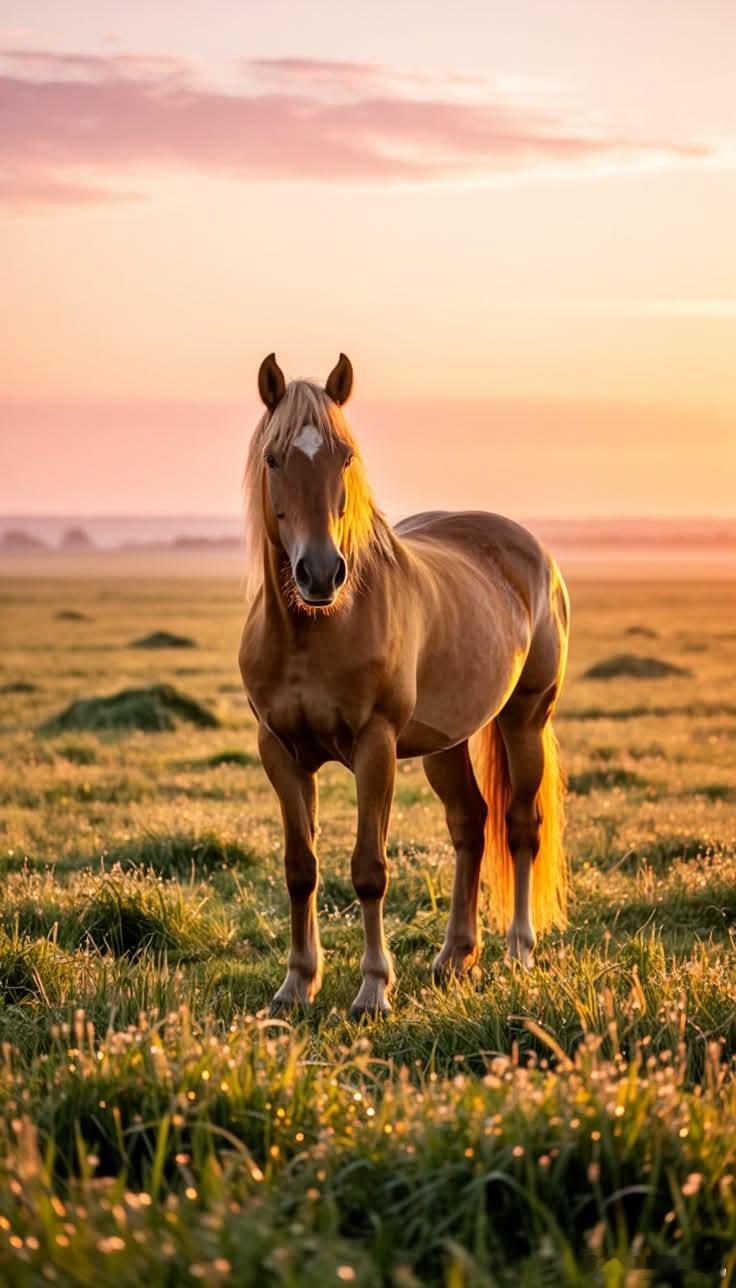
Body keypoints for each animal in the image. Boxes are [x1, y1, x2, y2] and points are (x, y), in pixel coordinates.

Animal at [239, 353, 570, 1017]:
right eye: (274, 458)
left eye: (345, 456)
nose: (320, 573)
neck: (313, 630)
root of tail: (533, 552)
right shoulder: (279, 751)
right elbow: (299, 867)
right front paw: (296, 985)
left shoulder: (376, 747)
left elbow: (369, 869)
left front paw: (372, 990)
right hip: (446, 742)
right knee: (471, 823)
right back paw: (454, 957)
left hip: (525, 719)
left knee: (521, 825)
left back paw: (518, 951)